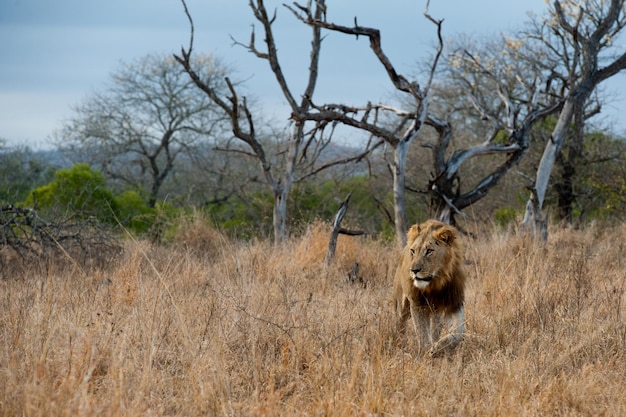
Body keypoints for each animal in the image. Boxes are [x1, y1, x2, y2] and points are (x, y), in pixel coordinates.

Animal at [390, 218, 464, 354]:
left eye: (429, 251)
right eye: (413, 251)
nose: (414, 270)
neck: (435, 283)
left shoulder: (454, 302)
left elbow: (459, 332)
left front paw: (438, 348)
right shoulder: (417, 304)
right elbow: (422, 333)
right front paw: (426, 353)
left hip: (436, 311)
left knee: (435, 328)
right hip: (400, 305)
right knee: (400, 325)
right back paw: (398, 346)